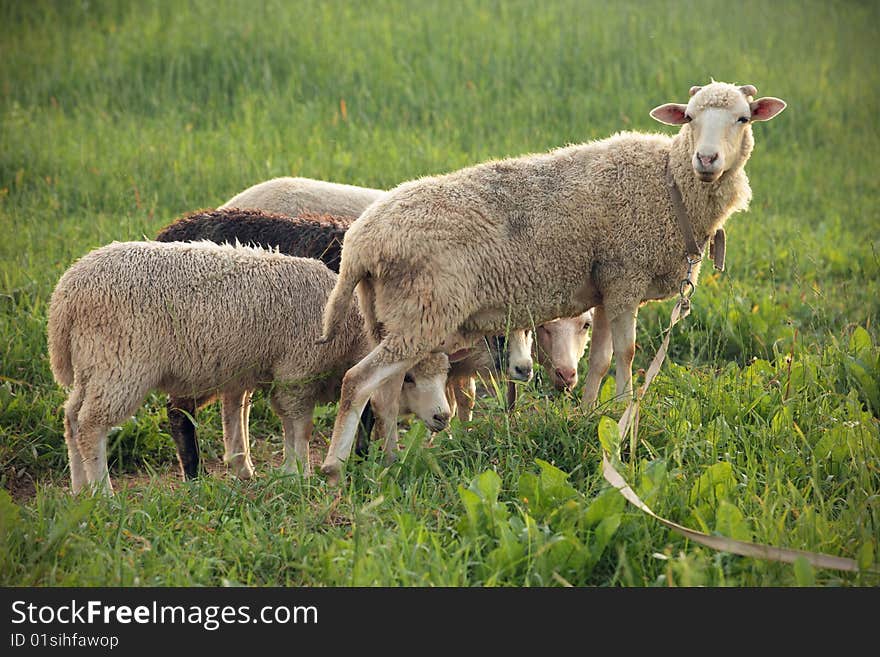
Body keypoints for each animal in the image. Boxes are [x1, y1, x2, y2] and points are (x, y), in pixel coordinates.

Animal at [45, 240, 450, 492]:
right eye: (408, 377)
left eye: (444, 373)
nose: (444, 417)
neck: (346, 328)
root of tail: (65, 295)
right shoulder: (296, 371)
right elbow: (298, 427)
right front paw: (297, 475)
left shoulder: (255, 372)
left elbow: (246, 417)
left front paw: (261, 471)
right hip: (121, 364)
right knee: (91, 425)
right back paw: (103, 493)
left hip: (93, 365)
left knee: (72, 417)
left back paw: (79, 490)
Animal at [320, 82, 788, 482]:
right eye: (689, 117)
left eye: (743, 118)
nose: (706, 160)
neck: (670, 182)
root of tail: (361, 243)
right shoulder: (626, 276)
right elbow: (627, 354)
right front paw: (625, 424)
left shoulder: (607, 286)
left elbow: (599, 358)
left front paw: (591, 416)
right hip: (424, 312)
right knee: (358, 381)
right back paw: (334, 468)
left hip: (391, 315)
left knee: (385, 390)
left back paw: (390, 460)